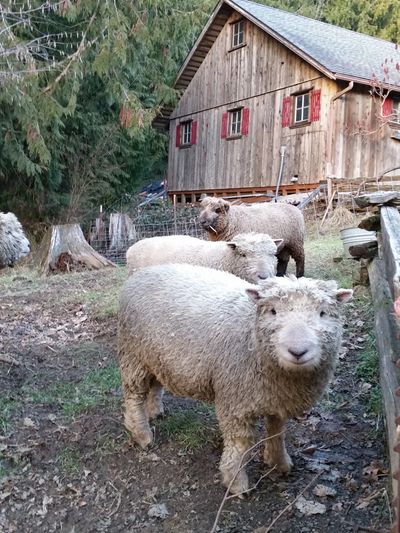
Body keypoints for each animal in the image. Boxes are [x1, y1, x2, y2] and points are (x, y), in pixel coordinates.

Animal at [117, 264, 352, 492]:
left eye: (323, 313)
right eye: (273, 311)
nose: (297, 351)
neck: (251, 337)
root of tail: (142, 273)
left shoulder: (276, 398)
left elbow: (276, 432)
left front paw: (279, 462)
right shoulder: (235, 401)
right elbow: (239, 444)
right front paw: (236, 482)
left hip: (156, 356)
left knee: (155, 383)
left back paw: (155, 411)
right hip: (134, 353)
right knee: (134, 396)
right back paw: (142, 434)